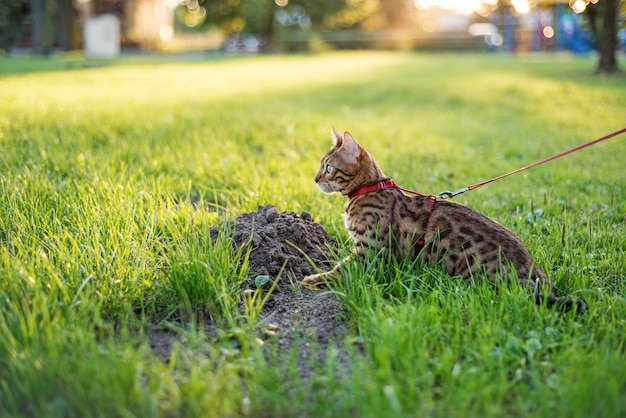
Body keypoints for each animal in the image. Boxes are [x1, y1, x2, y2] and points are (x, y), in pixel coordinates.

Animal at [302, 129, 584, 312]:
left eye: (328, 168)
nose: (315, 179)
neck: (368, 189)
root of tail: (538, 276)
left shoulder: (373, 252)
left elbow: (342, 269)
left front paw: (314, 279)